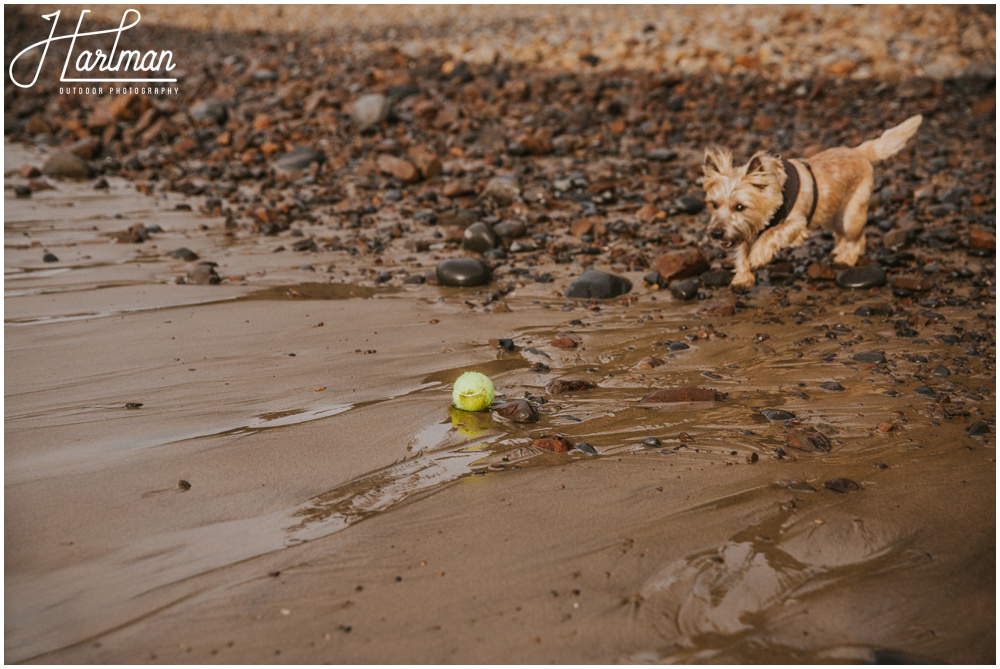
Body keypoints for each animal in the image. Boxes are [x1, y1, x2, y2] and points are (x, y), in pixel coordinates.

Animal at [704, 114, 920, 290]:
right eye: (714, 205)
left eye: (739, 207)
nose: (716, 233)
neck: (777, 191)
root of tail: (859, 151)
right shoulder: (747, 230)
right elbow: (742, 252)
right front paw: (742, 277)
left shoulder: (796, 224)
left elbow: (771, 234)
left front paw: (758, 256)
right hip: (833, 215)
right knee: (840, 235)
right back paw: (839, 251)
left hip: (851, 216)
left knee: (858, 239)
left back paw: (846, 258)